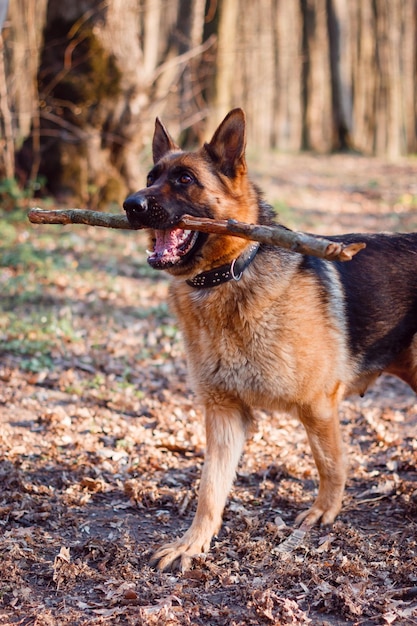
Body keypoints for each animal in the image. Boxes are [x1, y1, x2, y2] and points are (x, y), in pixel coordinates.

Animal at [122, 108, 416, 572]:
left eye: (185, 179)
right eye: (151, 177)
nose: (129, 205)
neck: (230, 275)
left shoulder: (318, 405)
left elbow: (330, 464)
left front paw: (323, 513)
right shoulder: (224, 414)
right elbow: (209, 489)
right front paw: (192, 543)